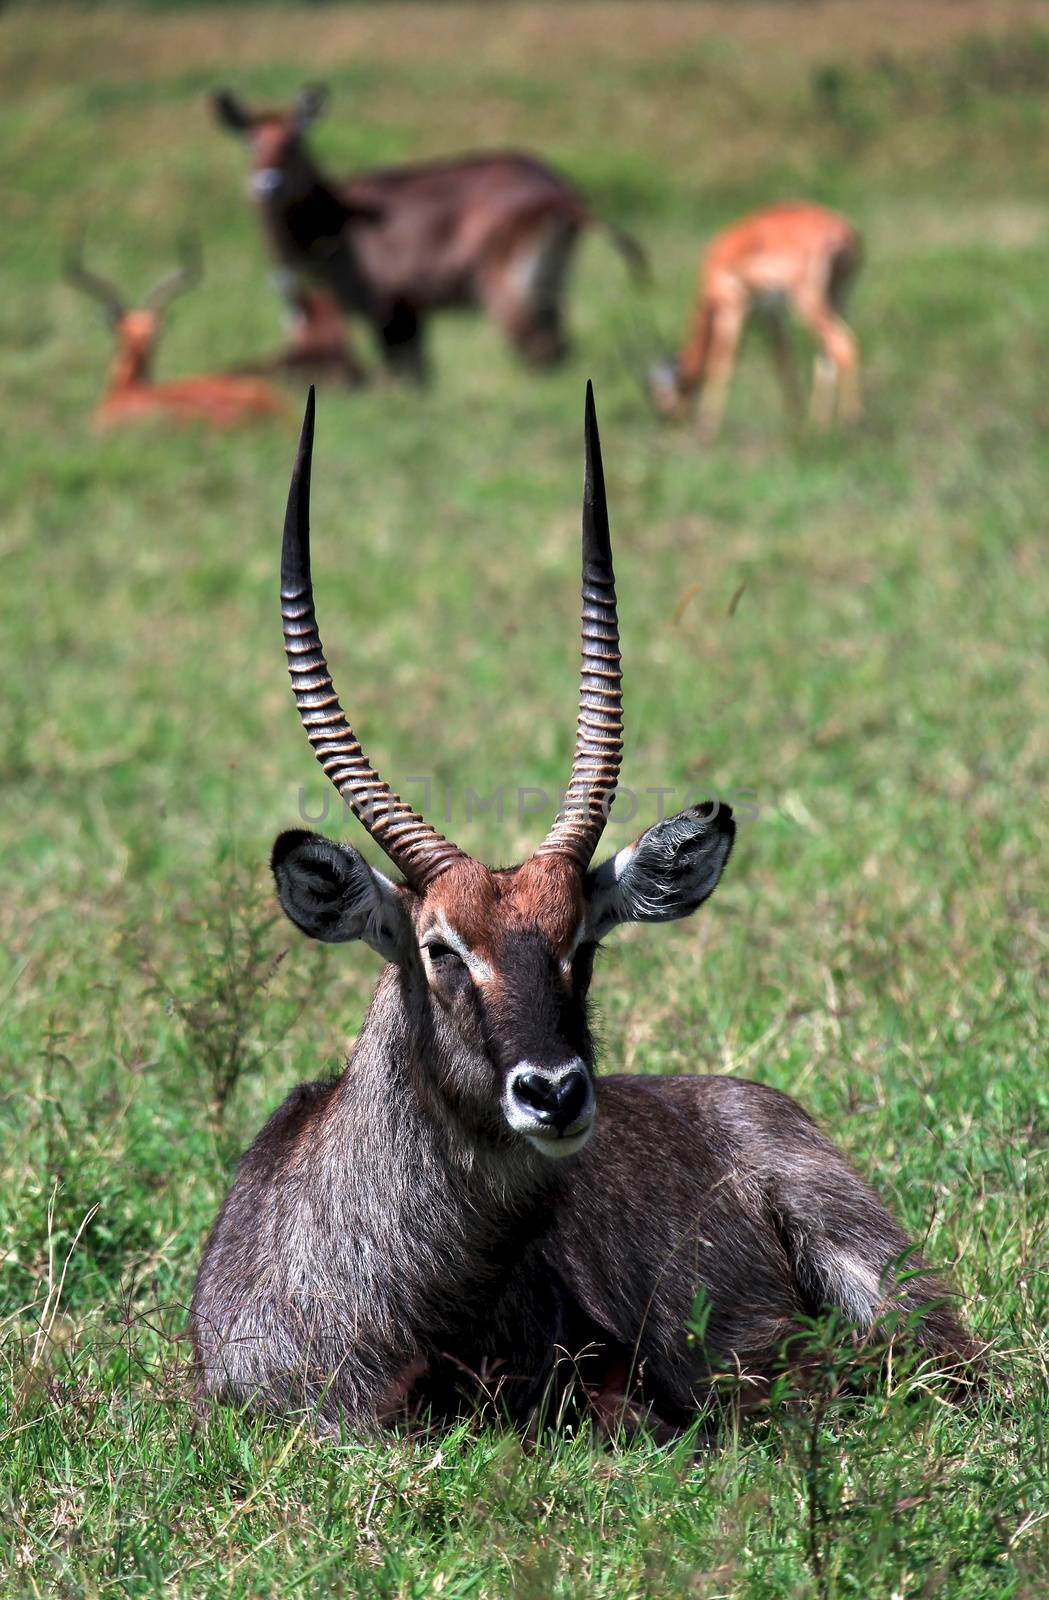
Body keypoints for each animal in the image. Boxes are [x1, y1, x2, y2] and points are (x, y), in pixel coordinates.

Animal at [211, 88, 646, 384]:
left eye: (294, 140)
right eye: (251, 142)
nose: (267, 184)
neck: (334, 216)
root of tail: (560, 192)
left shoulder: (386, 307)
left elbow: (404, 375)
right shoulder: (410, 312)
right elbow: (421, 375)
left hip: (503, 283)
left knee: (540, 347)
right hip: (549, 281)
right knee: (559, 343)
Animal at [652, 206, 863, 448]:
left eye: (661, 398)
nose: (673, 424)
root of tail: (843, 232)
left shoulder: (733, 309)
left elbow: (721, 364)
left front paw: (707, 430)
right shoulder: (768, 317)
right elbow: (782, 360)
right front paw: (796, 421)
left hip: (807, 303)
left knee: (843, 346)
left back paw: (851, 422)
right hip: (838, 300)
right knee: (827, 356)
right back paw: (820, 426)